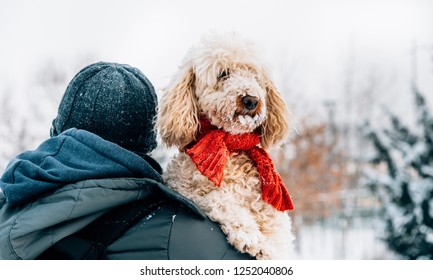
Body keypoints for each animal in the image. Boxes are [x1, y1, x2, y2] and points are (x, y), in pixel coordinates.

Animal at [157, 32, 296, 258]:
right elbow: (221, 199)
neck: (232, 147)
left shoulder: (271, 211)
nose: (251, 99)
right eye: (223, 74)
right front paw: (251, 237)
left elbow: (279, 236)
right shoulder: (189, 191)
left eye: (254, 75)